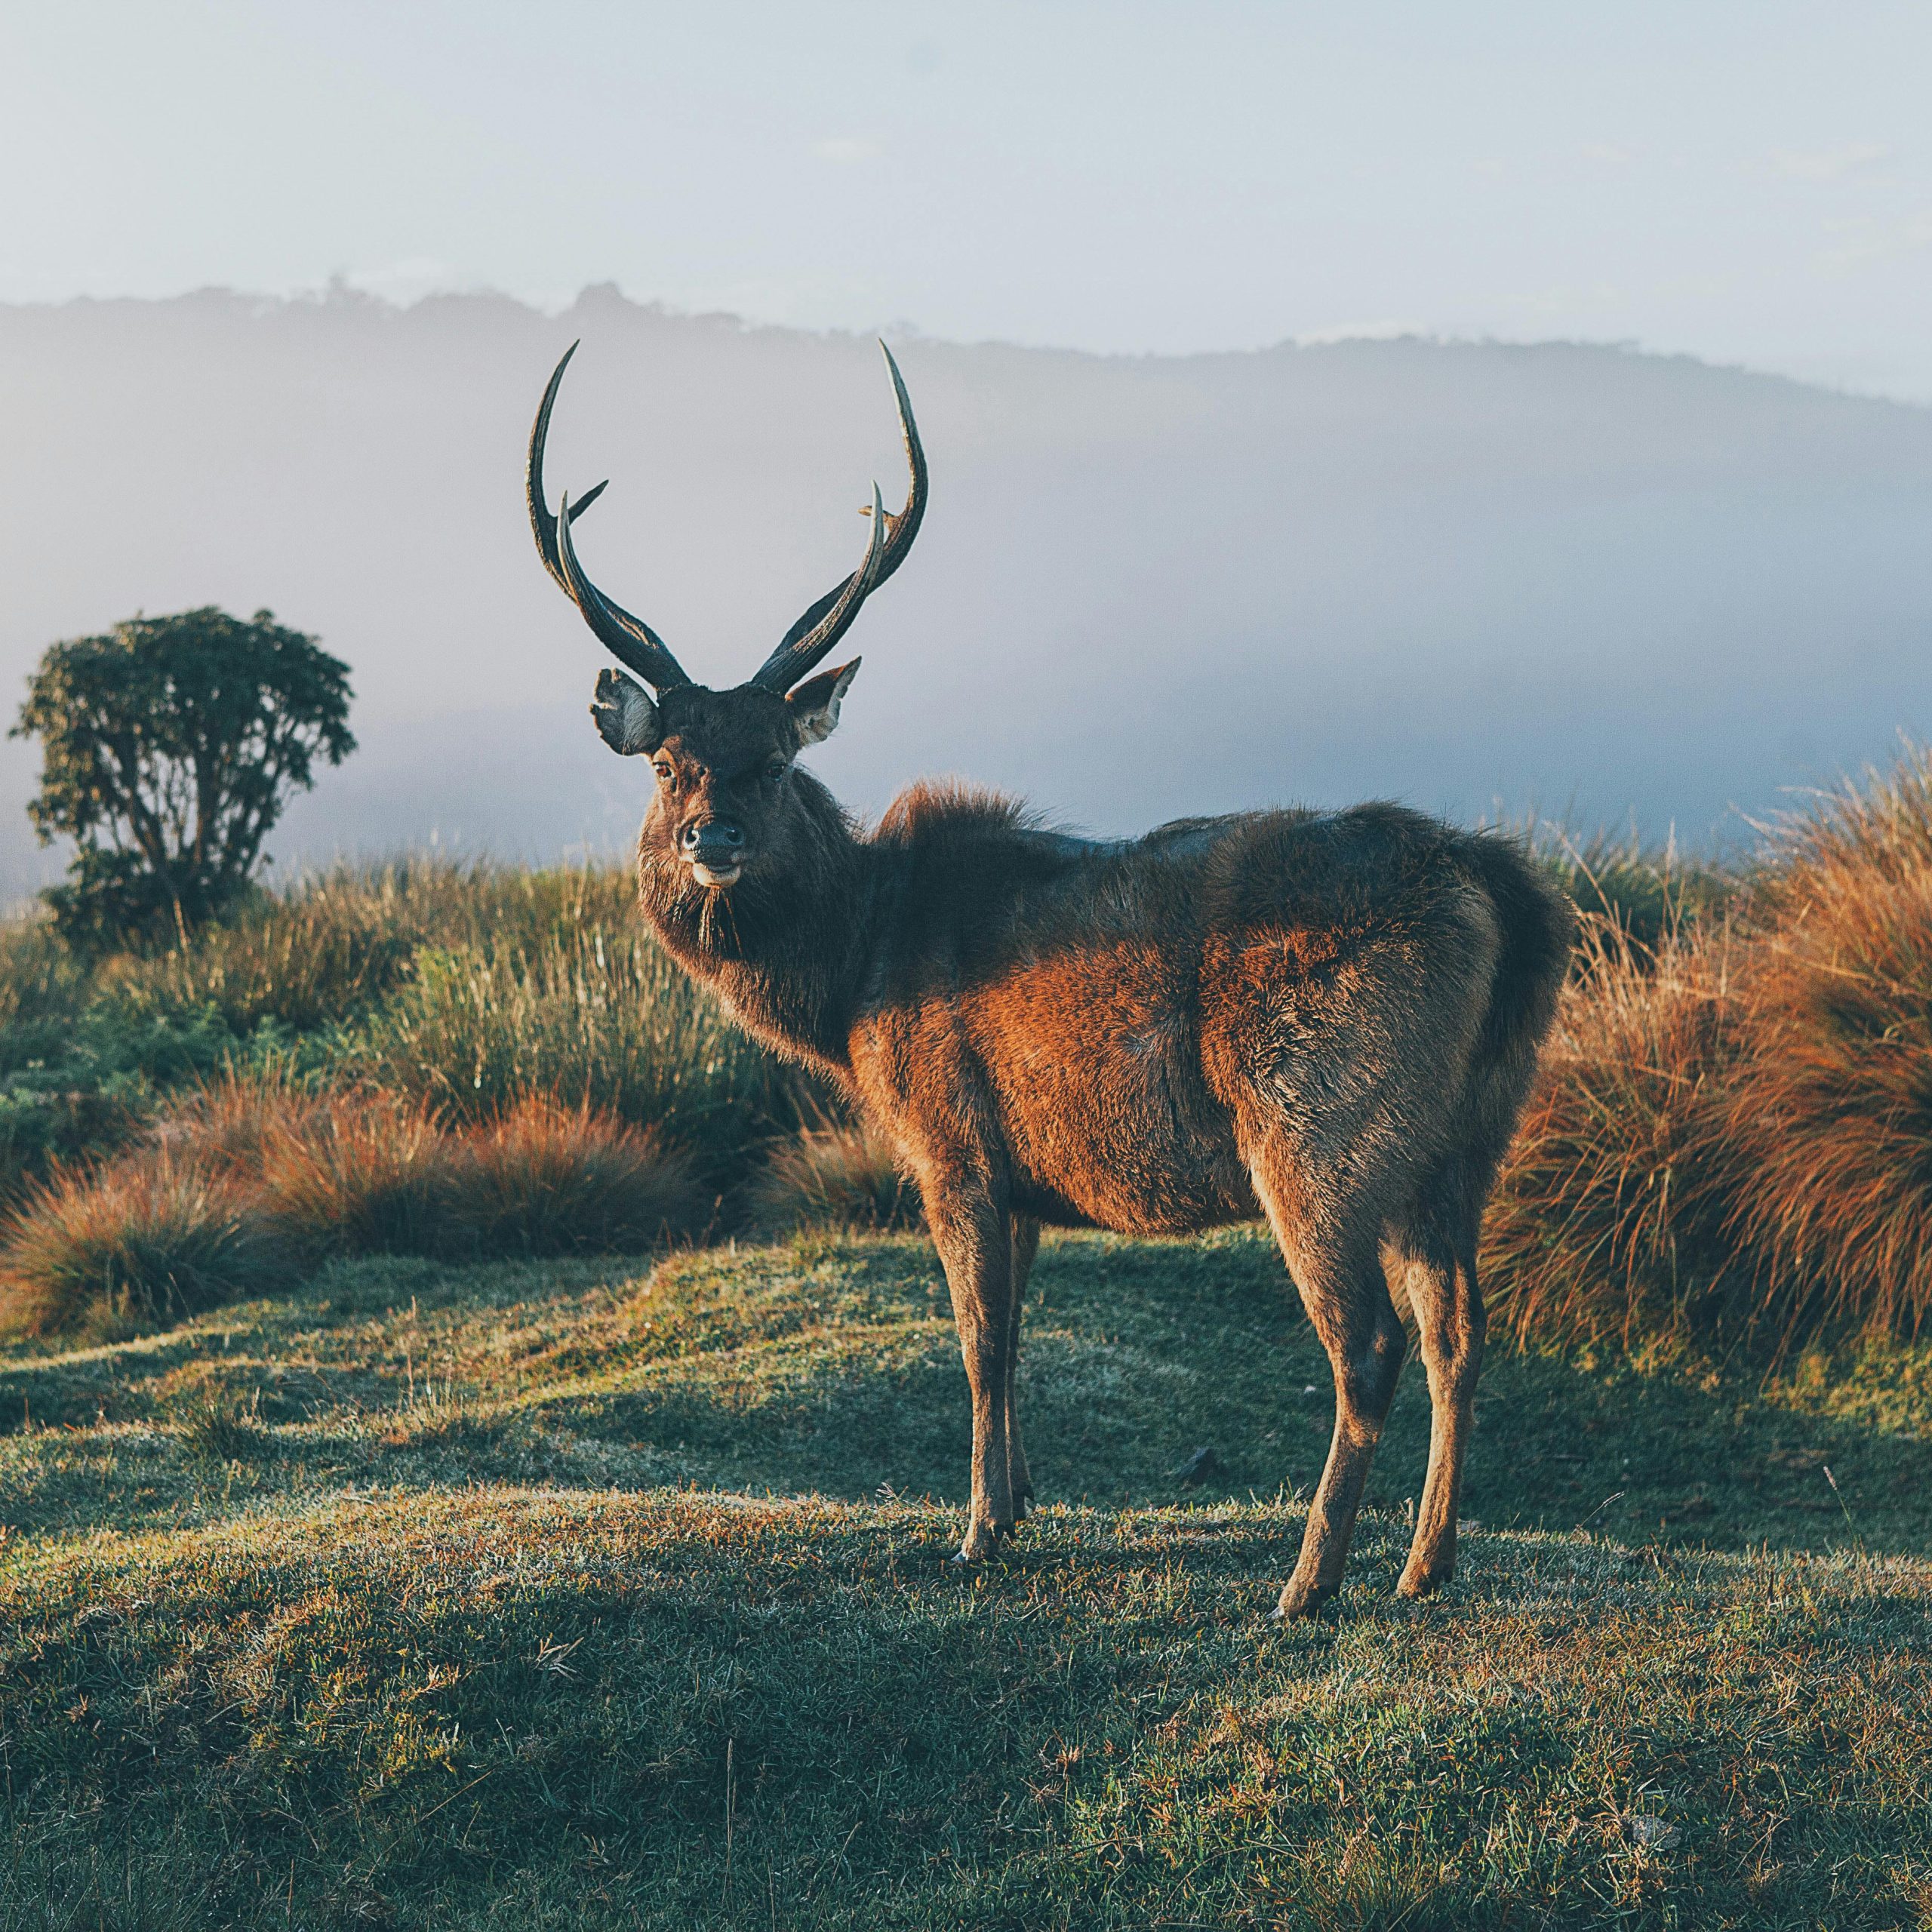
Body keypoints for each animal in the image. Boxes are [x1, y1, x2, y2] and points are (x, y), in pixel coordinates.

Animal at [525, 336, 1568, 1615]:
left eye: (771, 761)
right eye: (668, 761)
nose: (707, 838)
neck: (853, 984)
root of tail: (1506, 894)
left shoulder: (949, 1138)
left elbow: (978, 1341)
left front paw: (974, 1531)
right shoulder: (1024, 1175)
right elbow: (1017, 1334)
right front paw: (1021, 1502)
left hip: (1319, 1125)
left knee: (1368, 1343)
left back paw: (1309, 1580)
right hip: (1468, 1137)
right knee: (1460, 1330)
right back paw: (1427, 1562)